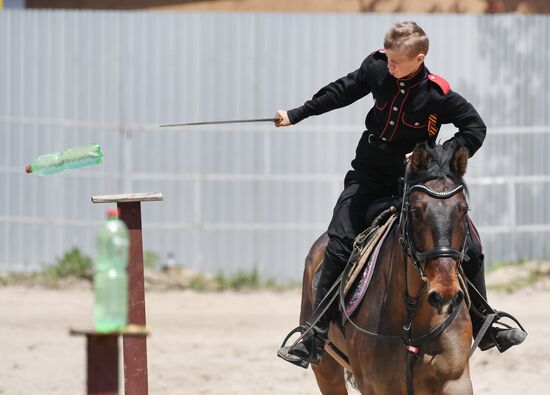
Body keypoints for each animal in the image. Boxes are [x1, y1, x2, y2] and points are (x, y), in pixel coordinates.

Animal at [300, 143, 476, 395]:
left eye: (463, 210)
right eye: (416, 212)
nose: (445, 297)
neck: (410, 319)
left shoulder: (456, 381)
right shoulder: (377, 387)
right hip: (326, 370)